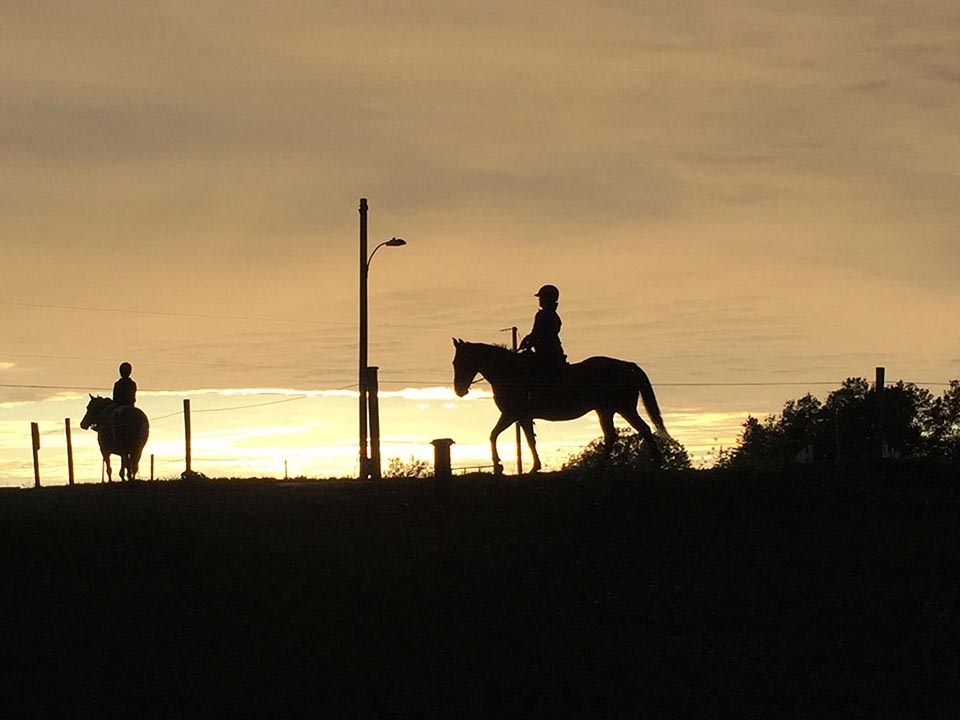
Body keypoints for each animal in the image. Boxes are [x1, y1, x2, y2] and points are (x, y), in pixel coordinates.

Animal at [454, 340, 672, 476]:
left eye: (461, 362)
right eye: (455, 362)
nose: (459, 391)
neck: (510, 373)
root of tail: (627, 365)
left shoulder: (512, 414)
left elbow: (497, 435)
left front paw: (500, 465)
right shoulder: (521, 416)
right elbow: (525, 439)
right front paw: (532, 466)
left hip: (622, 408)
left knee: (641, 429)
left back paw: (656, 462)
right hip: (607, 410)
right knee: (617, 434)